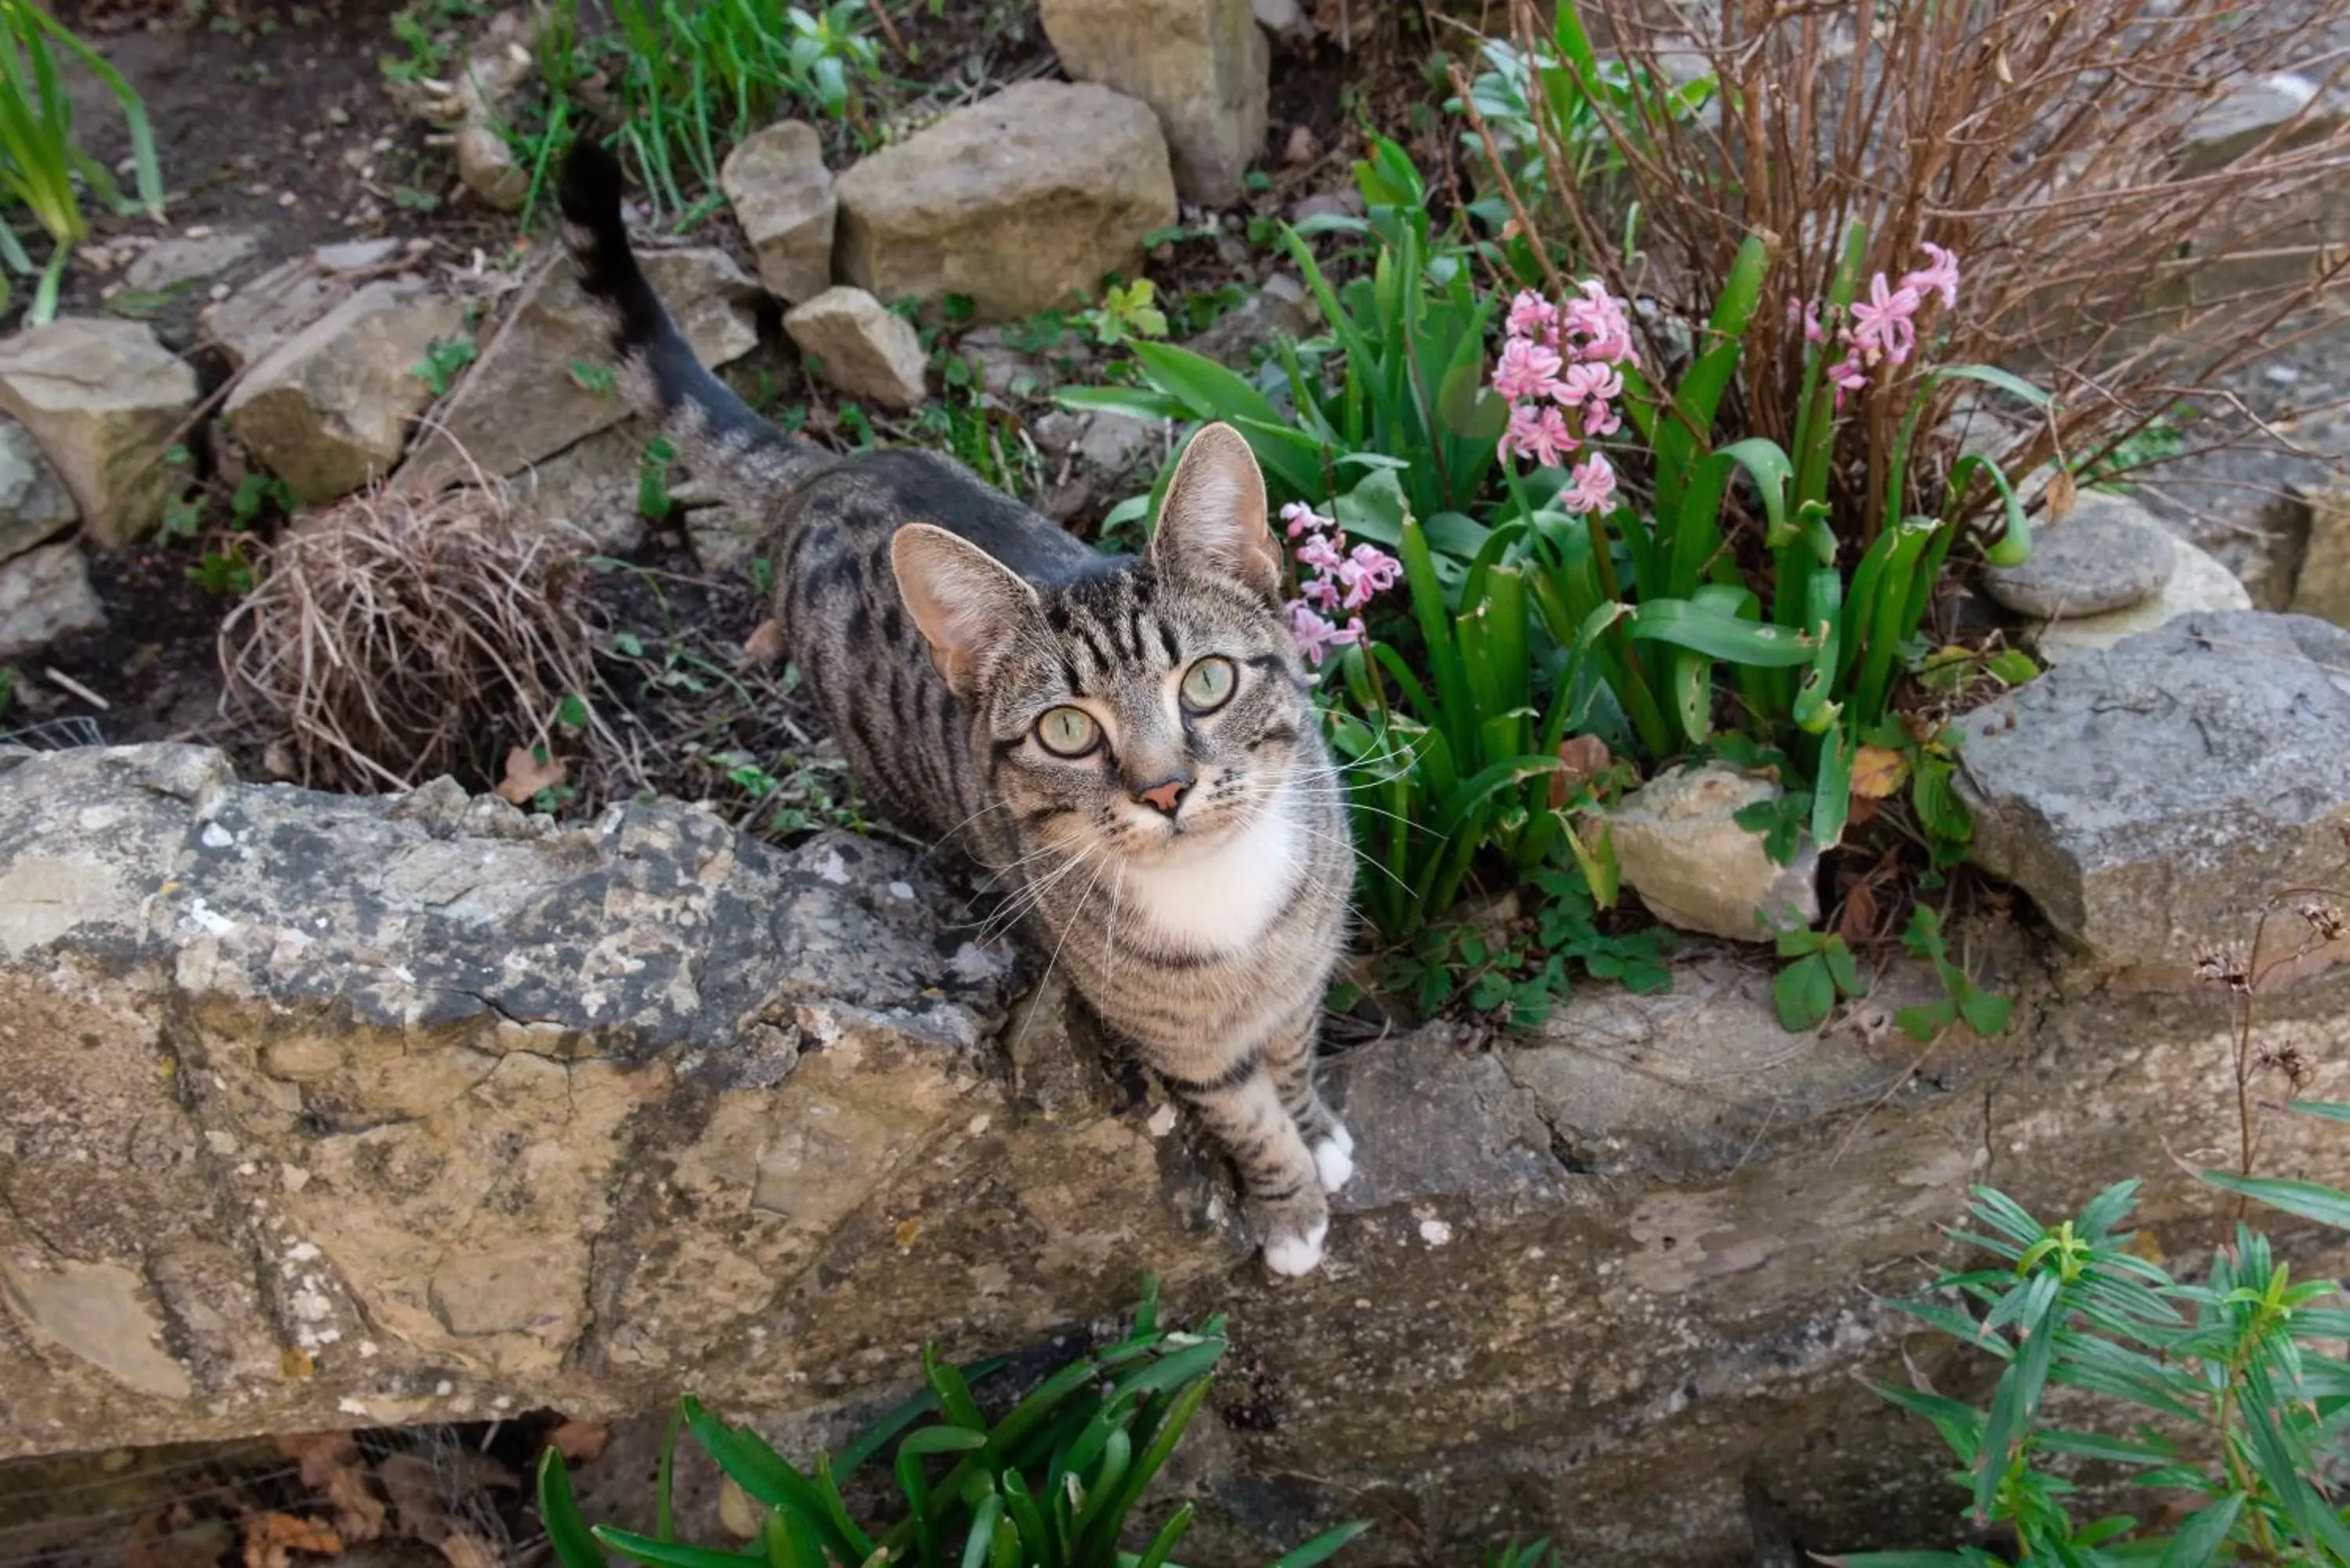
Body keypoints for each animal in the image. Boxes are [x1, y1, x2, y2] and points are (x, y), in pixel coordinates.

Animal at [559, 143, 1363, 1278]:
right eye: (1067, 730)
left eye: (1207, 681)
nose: (1166, 788)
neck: (1226, 908)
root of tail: (828, 468)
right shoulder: (1176, 1040)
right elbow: (1244, 1112)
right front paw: (1288, 1204)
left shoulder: (1300, 975)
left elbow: (1290, 1058)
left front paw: (1318, 1127)